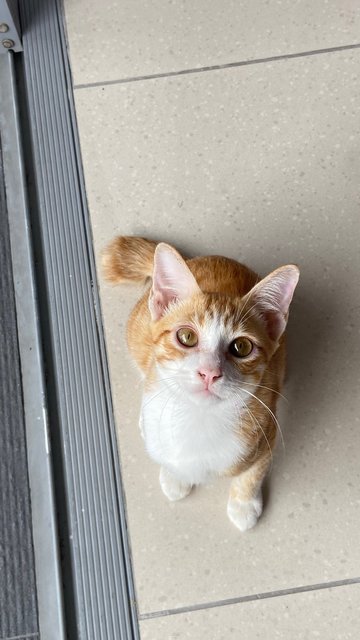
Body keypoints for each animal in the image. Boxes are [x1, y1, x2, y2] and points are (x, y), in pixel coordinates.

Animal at [101, 238, 298, 532]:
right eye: (186, 336)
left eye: (242, 347)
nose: (209, 372)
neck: (200, 418)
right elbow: (168, 455)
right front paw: (175, 476)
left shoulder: (267, 431)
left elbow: (253, 472)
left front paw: (243, 503)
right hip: (136, 335)